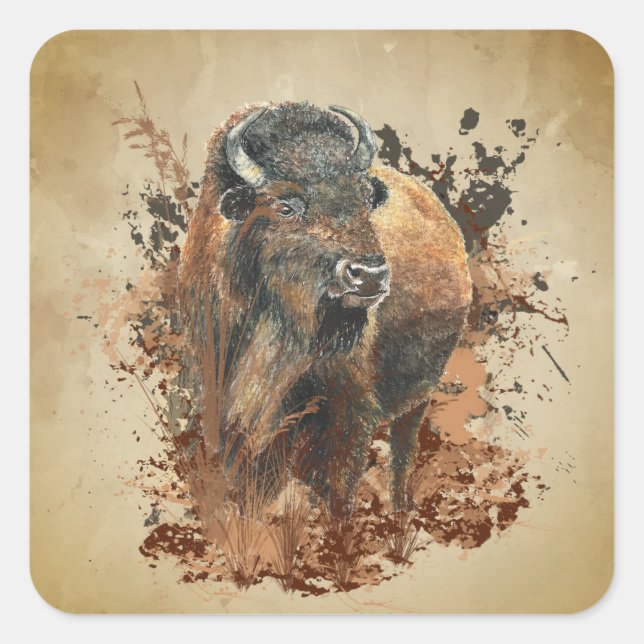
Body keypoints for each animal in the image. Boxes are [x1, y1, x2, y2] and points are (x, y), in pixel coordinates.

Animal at [180, 101, 472, 519]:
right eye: (285, 206)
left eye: (363, 197)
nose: (369, 275)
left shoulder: (348, 410)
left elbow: (339, 488)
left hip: (419, 396)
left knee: (403, 451)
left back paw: (401, 510)